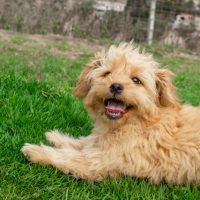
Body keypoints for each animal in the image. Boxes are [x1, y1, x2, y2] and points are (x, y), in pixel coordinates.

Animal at [21, 42, 200, 184]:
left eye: (136, 80)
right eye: (107, 73)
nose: (116, 86)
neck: (141, 121)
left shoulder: (99, 162)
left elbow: (69, 156)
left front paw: (35, 150)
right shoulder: (99, 144)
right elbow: (82, 142)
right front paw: (55, 136)